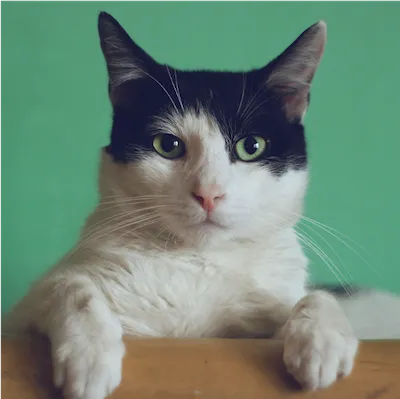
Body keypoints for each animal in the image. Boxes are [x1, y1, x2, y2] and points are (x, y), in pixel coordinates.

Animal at [3, 10, 400, 399]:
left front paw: (322, 342)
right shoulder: (17, 321)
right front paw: (89, 356)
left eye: (251, 146)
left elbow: (312, 298)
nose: (208, 193)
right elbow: (69, 287)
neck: (196, 264)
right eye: (168, 145)